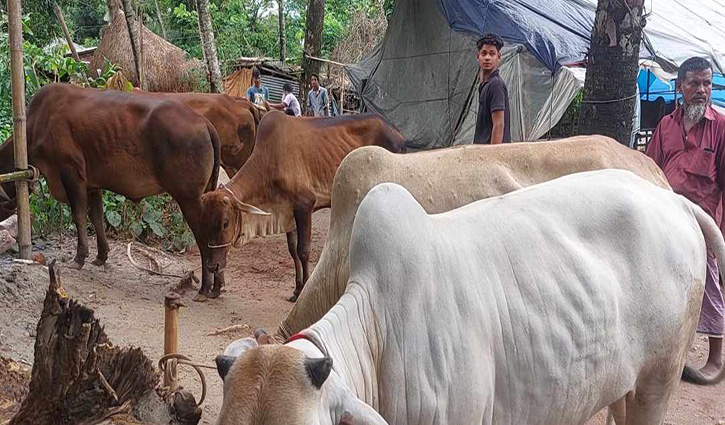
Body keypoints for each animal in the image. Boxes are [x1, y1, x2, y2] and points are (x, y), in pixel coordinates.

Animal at [0, 85, 222, 292]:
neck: (37, 123)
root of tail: (204, 122)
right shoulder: (92, 184)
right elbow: (96, 216)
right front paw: (101, 255)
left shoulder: (71, 173)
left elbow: (79, 215)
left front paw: (79, 258)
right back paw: (217, 285)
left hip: (188, 197)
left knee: (203, 236)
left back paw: (205, 287)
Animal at [197, 111, 408, 300]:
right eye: (204, 223)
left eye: (225, 223)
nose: (212, 266)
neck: (269, 162)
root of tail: (397, 132)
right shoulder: (287, 212)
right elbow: (292, 250)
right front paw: (297, 289)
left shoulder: (304, 206)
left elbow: (303, 251)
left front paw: (303, 290)